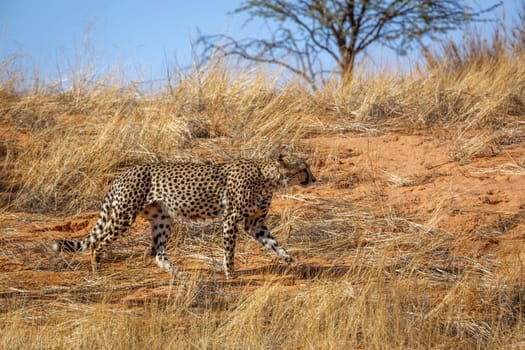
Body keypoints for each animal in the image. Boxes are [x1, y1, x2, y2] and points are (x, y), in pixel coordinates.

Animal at [53, 154, 316, 278]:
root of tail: (124, 173)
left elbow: (275, 244)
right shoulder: (231, 218)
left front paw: (293, 262)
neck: (267, 178)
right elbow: (229, 251)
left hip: (162, 219)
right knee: (97, 242)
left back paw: (179, 275)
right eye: (304, 168)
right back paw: (97, 271)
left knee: (157, 252)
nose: (314, 179)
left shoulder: (255, 223)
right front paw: (230, 274)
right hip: (124, 216)